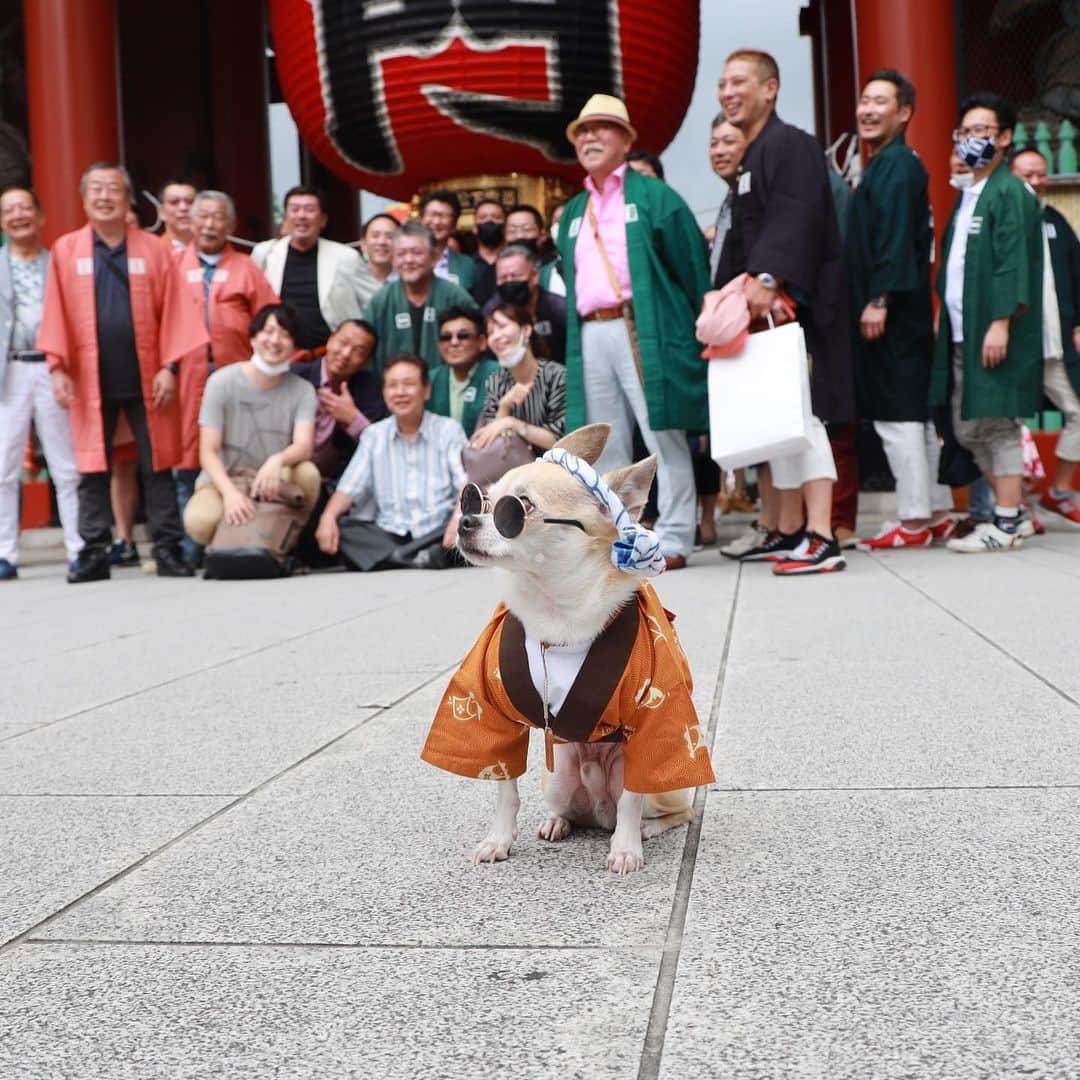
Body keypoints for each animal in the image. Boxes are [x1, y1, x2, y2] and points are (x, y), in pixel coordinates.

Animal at [421, 425, 717, 872]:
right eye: (477, 499)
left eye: (519, 507)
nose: (466, 520)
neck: (555, 607)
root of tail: (598, 811)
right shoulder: (493, 717)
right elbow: (505, 787)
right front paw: (498, 840)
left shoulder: (653, 721)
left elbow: (632, 798)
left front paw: (626, 848)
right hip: (559, 774)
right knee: (570, 810)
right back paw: (556, 822)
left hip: (656, 787)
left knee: (667, 809)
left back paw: (645, 830)